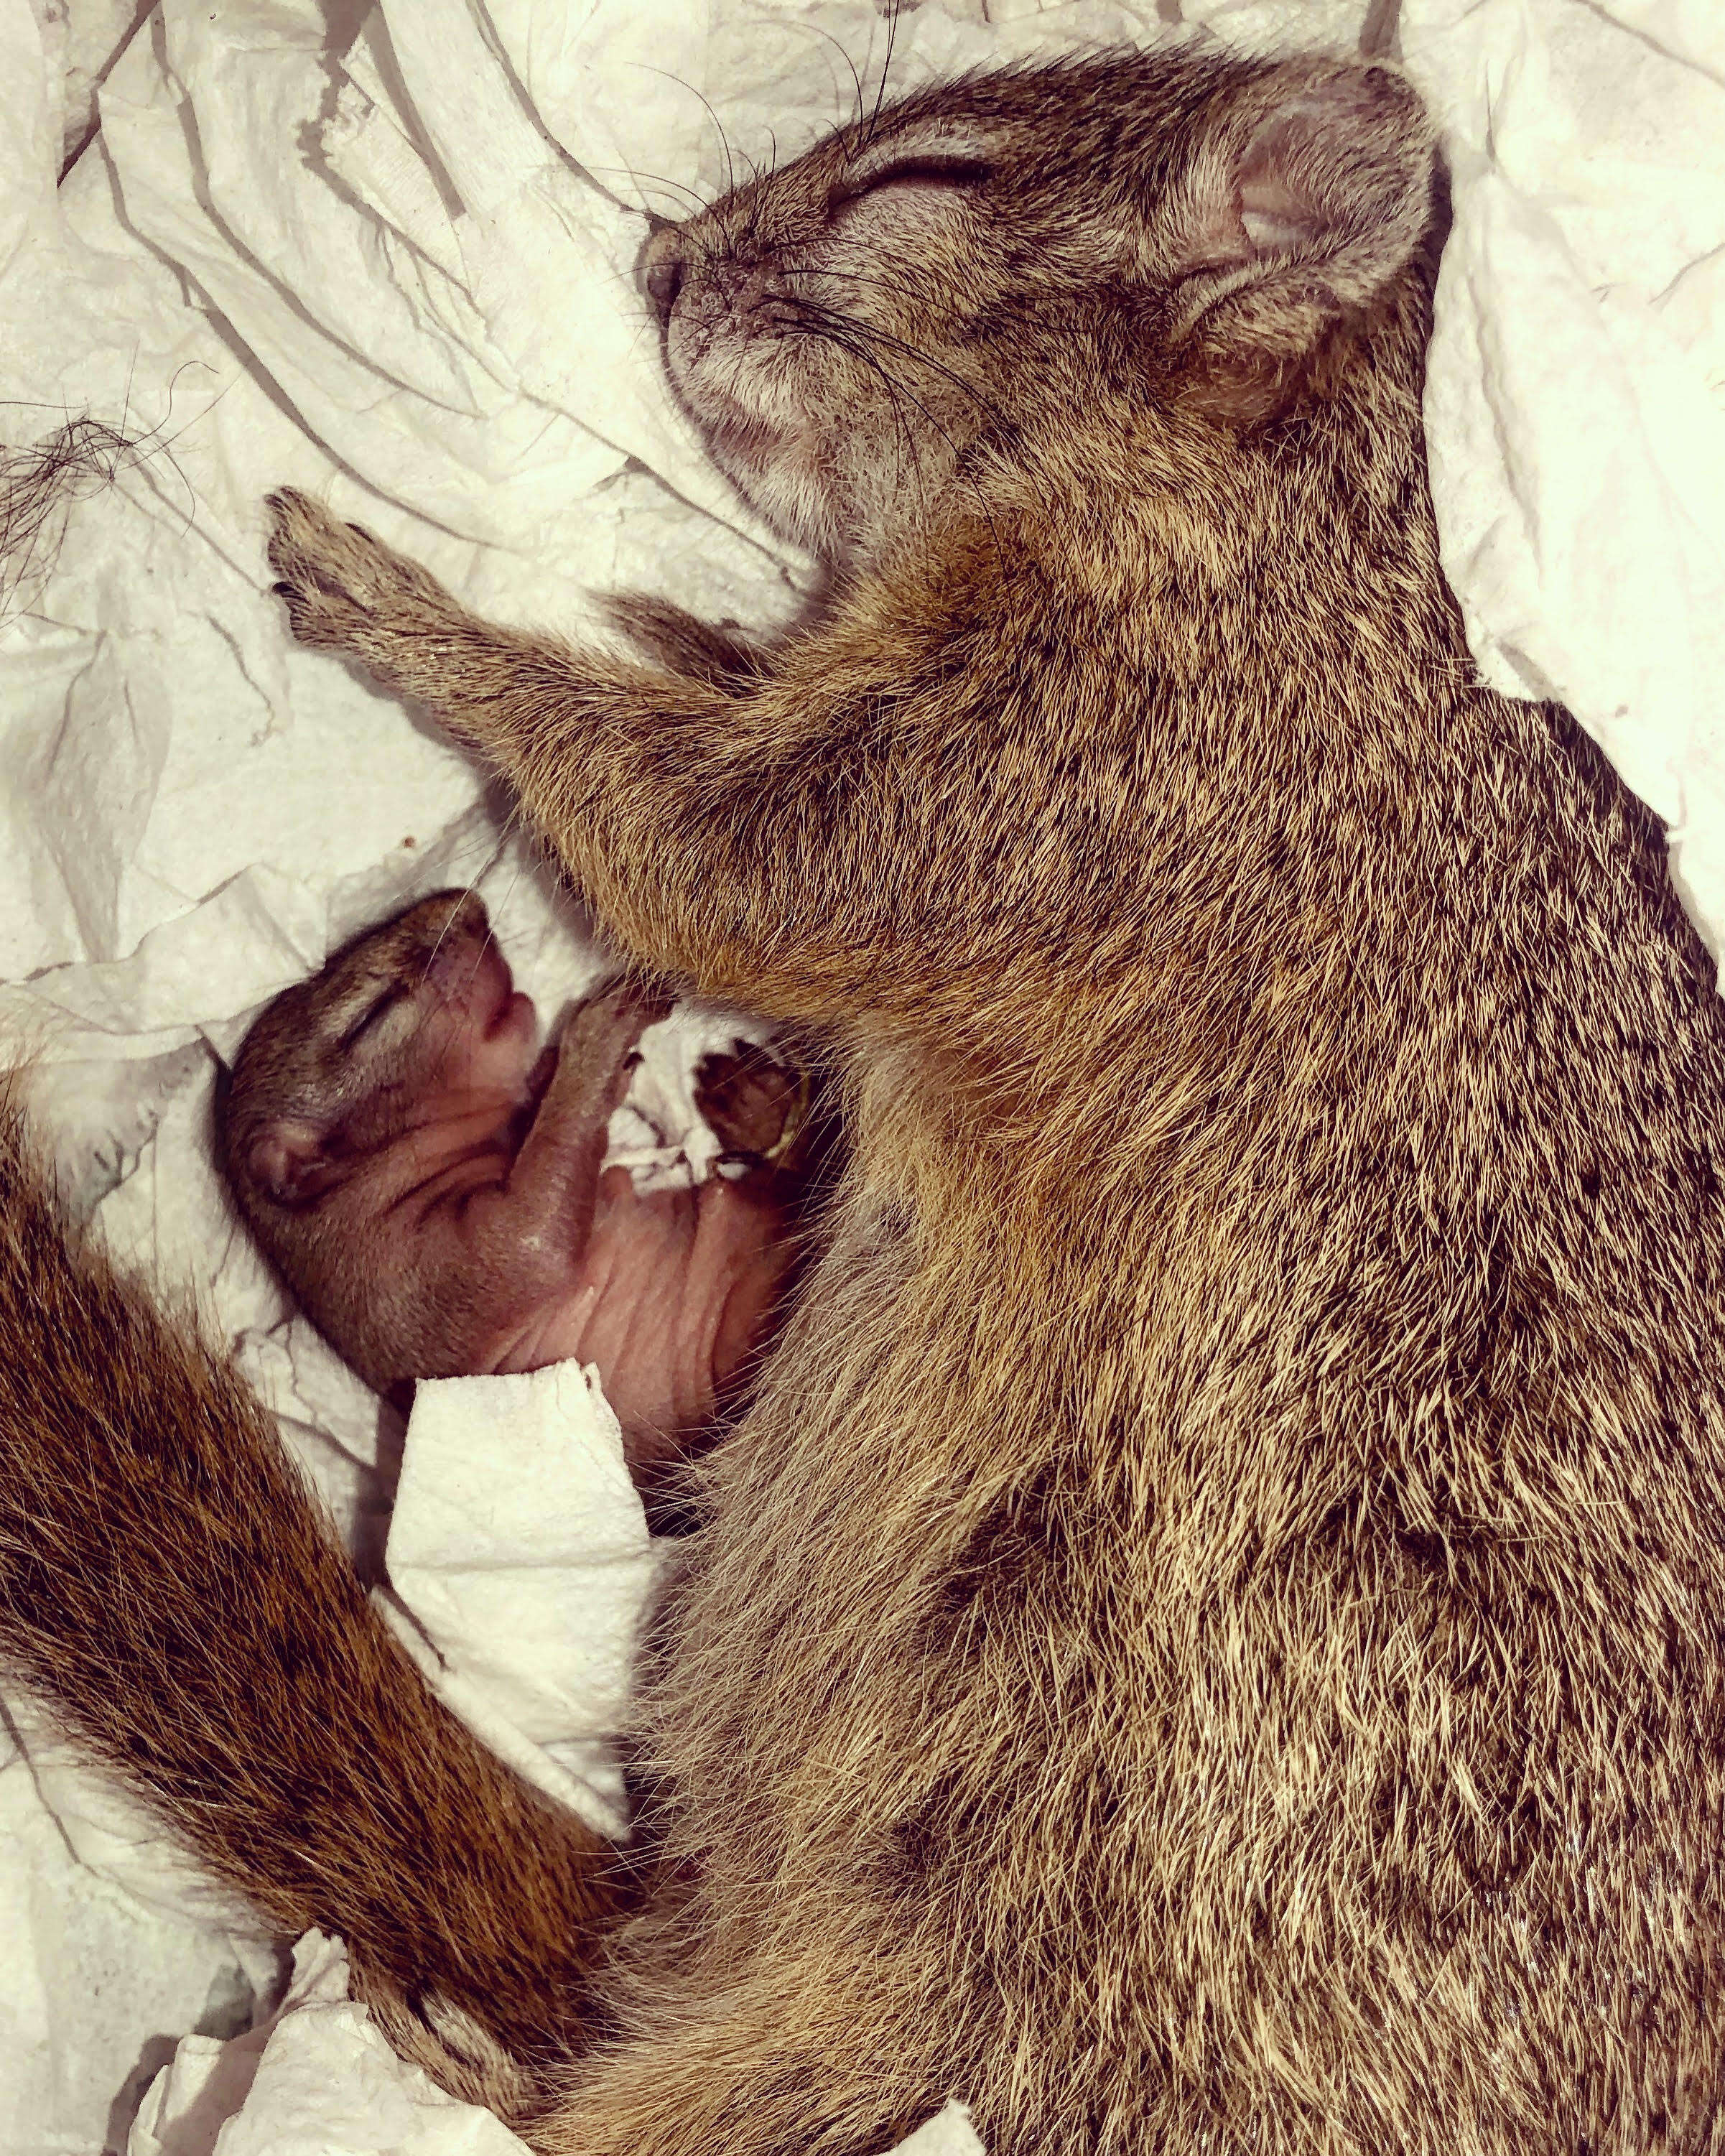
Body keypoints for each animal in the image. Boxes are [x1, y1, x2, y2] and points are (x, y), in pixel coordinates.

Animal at [218, 888, 819, 1483]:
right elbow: (535, 1238)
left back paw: (756, 1109)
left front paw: (556, 1068)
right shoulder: (409, 1284)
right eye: (370, 1015)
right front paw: (599, 1034)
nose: (465, 902)